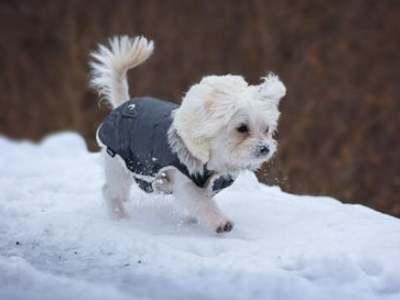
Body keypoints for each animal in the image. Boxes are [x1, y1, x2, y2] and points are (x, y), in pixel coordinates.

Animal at [89, 34, 286, 232]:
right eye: (242, 128)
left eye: (266, 129)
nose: (265, 148)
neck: (214, 159)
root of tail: (124, 104)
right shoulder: (185, 181)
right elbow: (202, 203)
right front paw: (220, 222)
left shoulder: (210, 185)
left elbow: (200, 204)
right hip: (119, 164)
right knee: (110, 191)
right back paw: (119, 216)